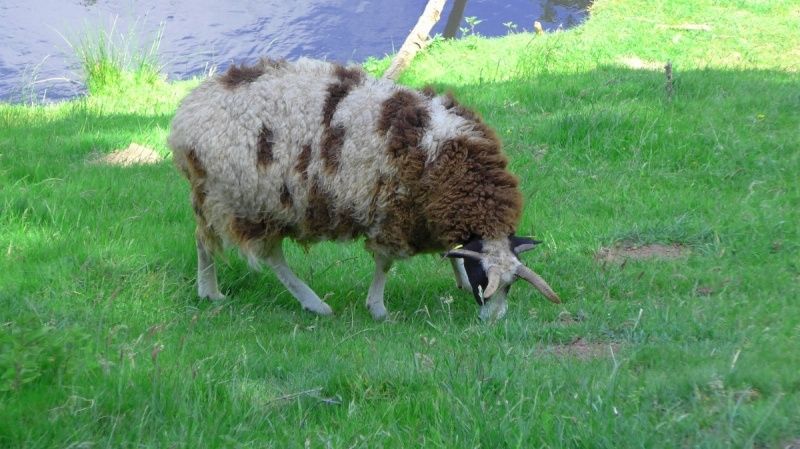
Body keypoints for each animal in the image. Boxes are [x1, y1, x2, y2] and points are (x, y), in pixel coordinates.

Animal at [167, 57, 556, 320]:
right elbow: (384, 263)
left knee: (203, 239)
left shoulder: (427, 213)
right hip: (247, 201)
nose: (493, 322)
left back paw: (209, 292)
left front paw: (457, 279)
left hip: (216, 196)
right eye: (486, 281)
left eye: (511, 285)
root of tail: (184, 118)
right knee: (271, 258)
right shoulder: (393, 214)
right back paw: (314, 304)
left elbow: (453, 250)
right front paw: (378, 308)